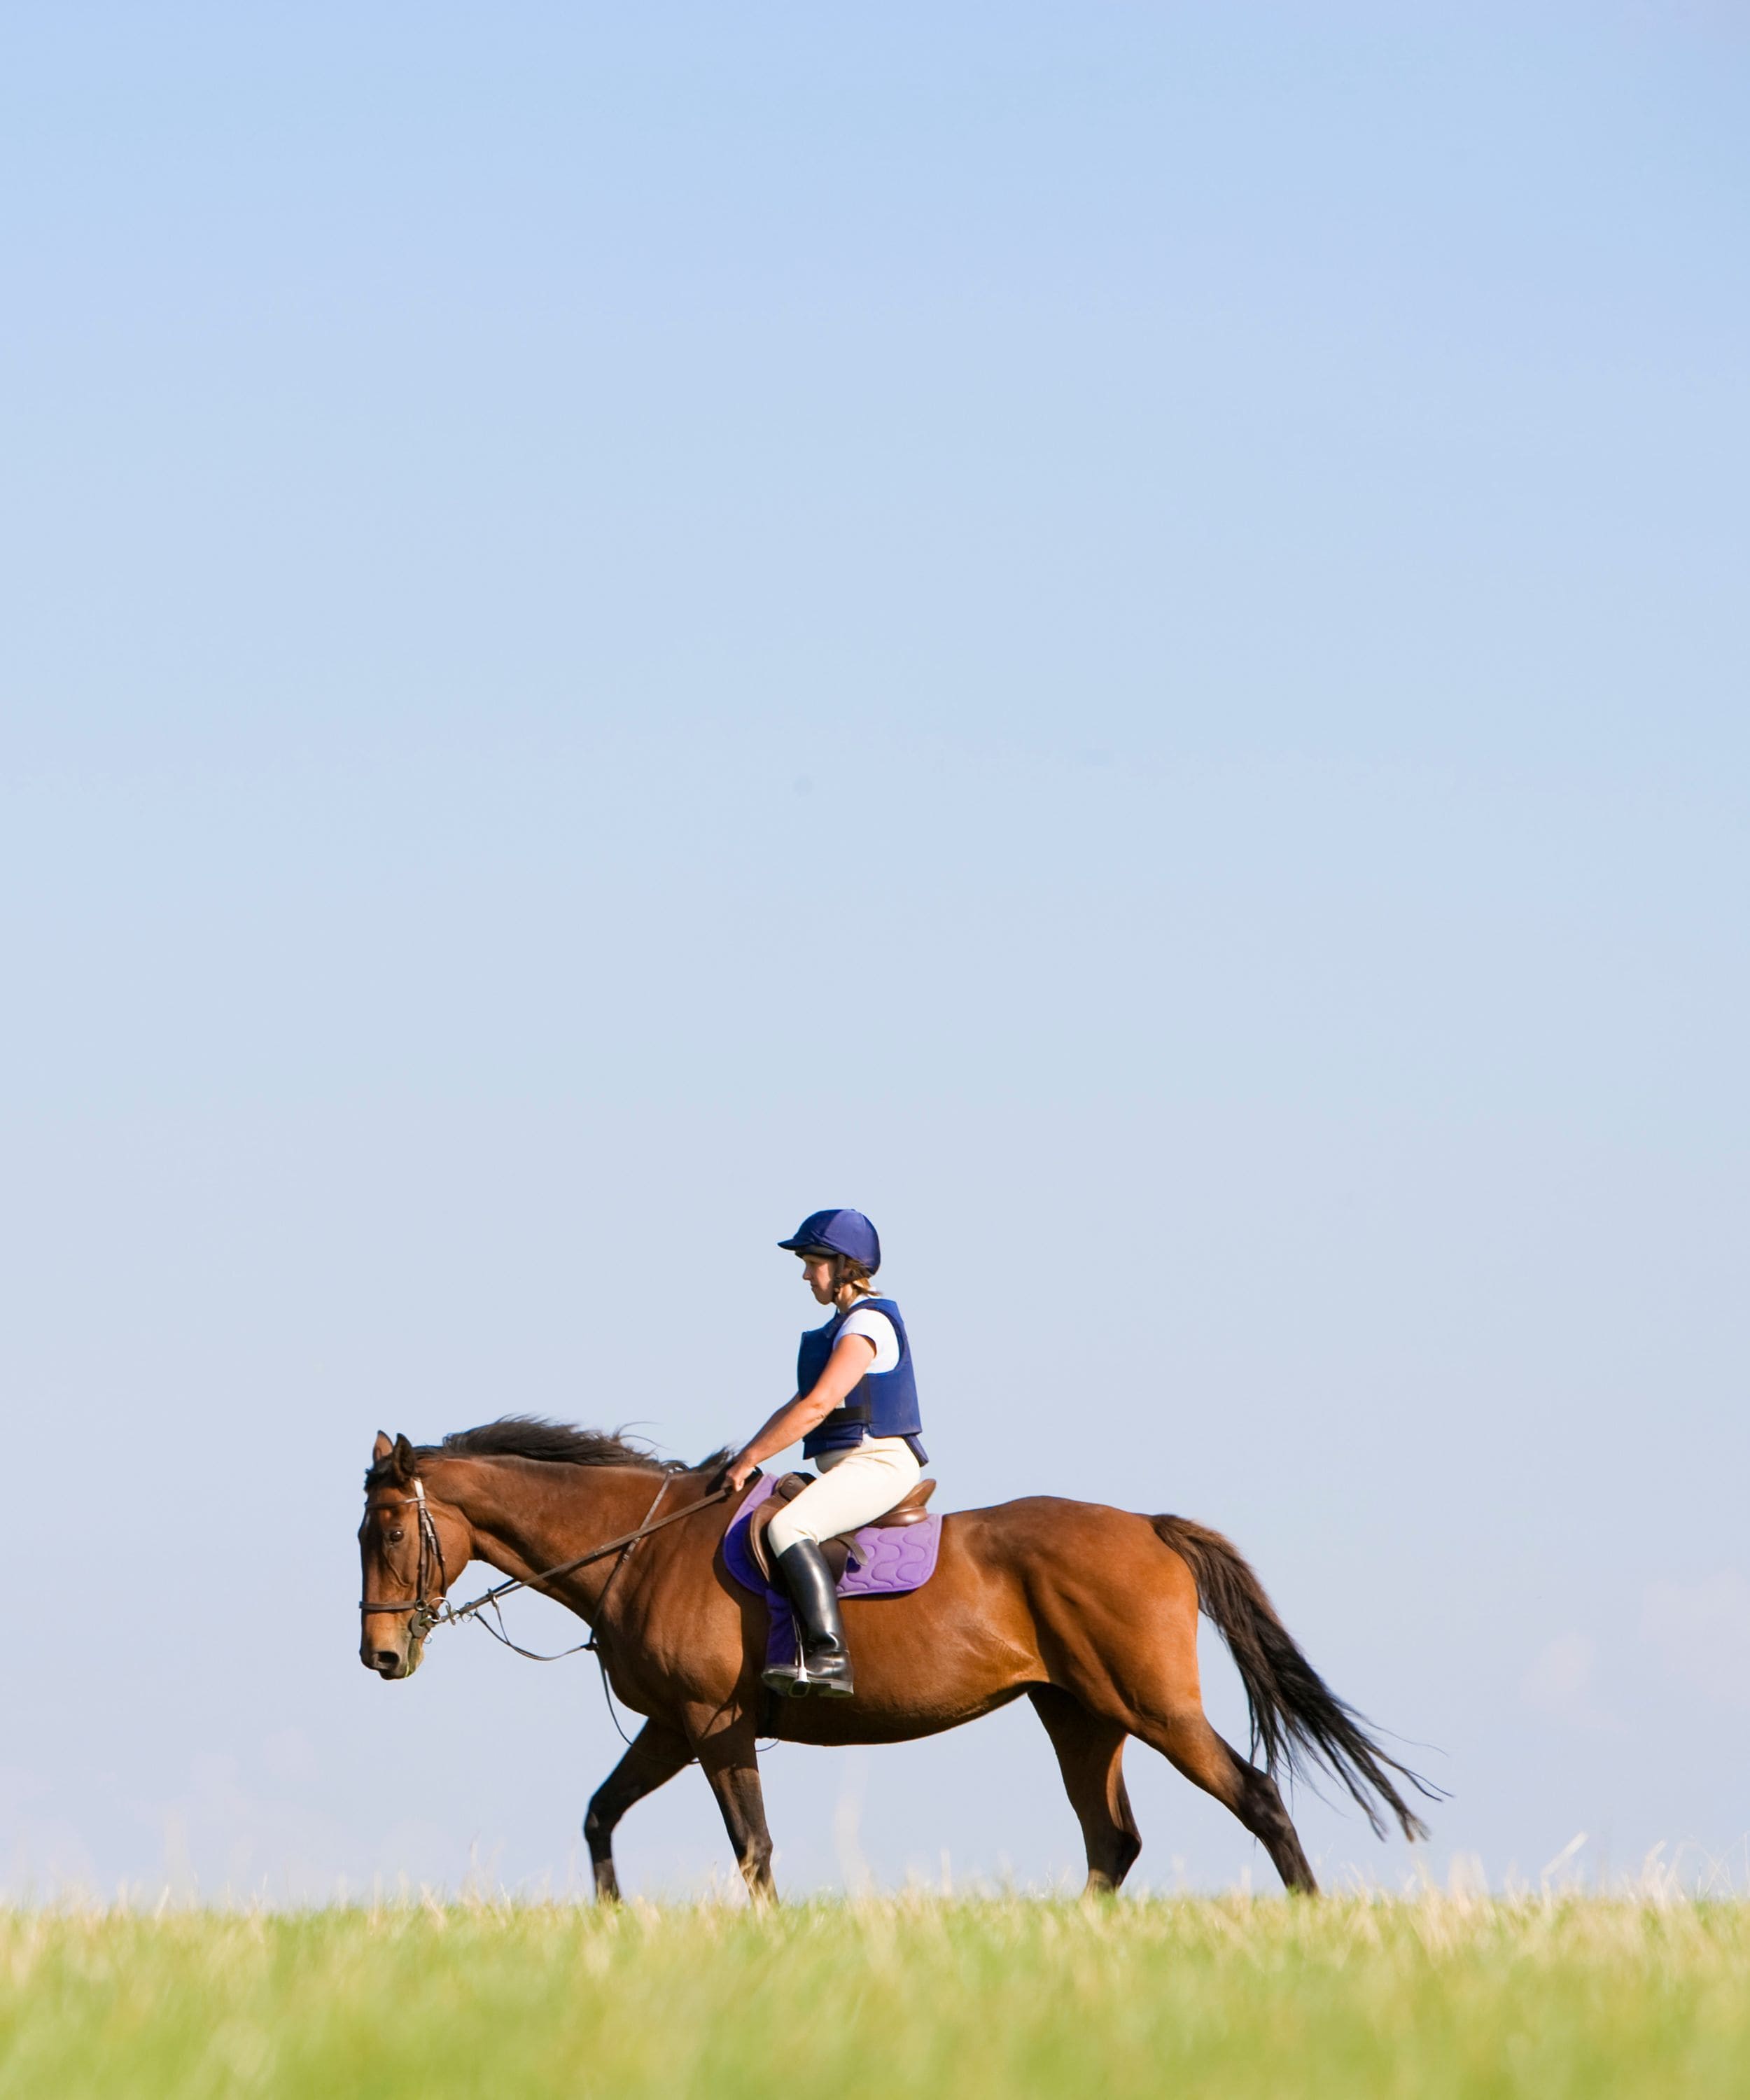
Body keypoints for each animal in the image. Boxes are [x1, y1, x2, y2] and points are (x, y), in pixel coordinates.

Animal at [358, 1418, 1434, 1900]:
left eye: (391, 1532)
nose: (379, 1656)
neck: (639, 1545)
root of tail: (1148, 1527)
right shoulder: (672, 1726)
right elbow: (598, 1817)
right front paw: (612, 1930)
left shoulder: (714, 1725)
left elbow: (752, 1846)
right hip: (1079, 1714)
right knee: (1112, 1841)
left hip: (1151, 1706)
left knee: (1255, 1796)